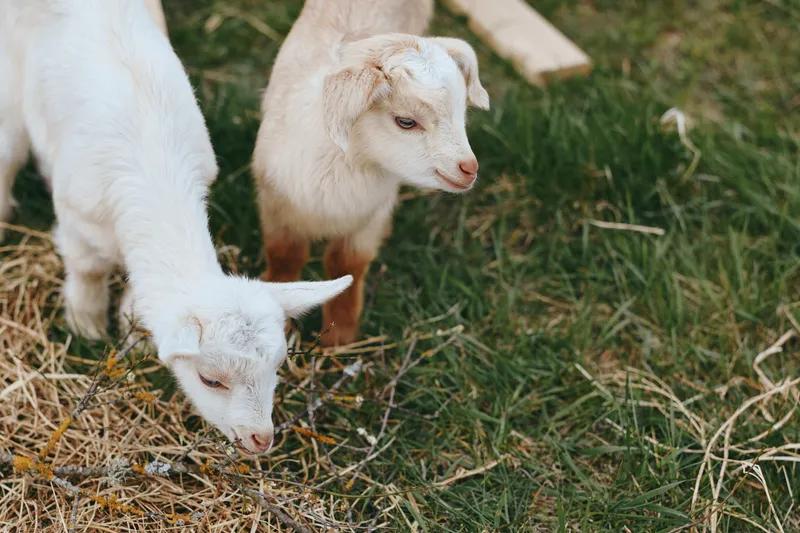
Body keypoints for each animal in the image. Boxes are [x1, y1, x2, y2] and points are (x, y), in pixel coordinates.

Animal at [0, 0, 352, 455]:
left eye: (277, 366)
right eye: (210, 380)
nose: (261, 439)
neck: (156, 169)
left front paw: (133, 334)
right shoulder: (78, 218)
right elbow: (89, 270)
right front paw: (86, 324)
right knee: (9, 145)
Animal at [252, 0, 489, 346]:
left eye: (462, 113)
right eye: (406, 121)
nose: (469, 169)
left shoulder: (371, 219)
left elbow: (346, 265)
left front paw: (340, 338)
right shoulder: (277, 208)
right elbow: (286, 257)